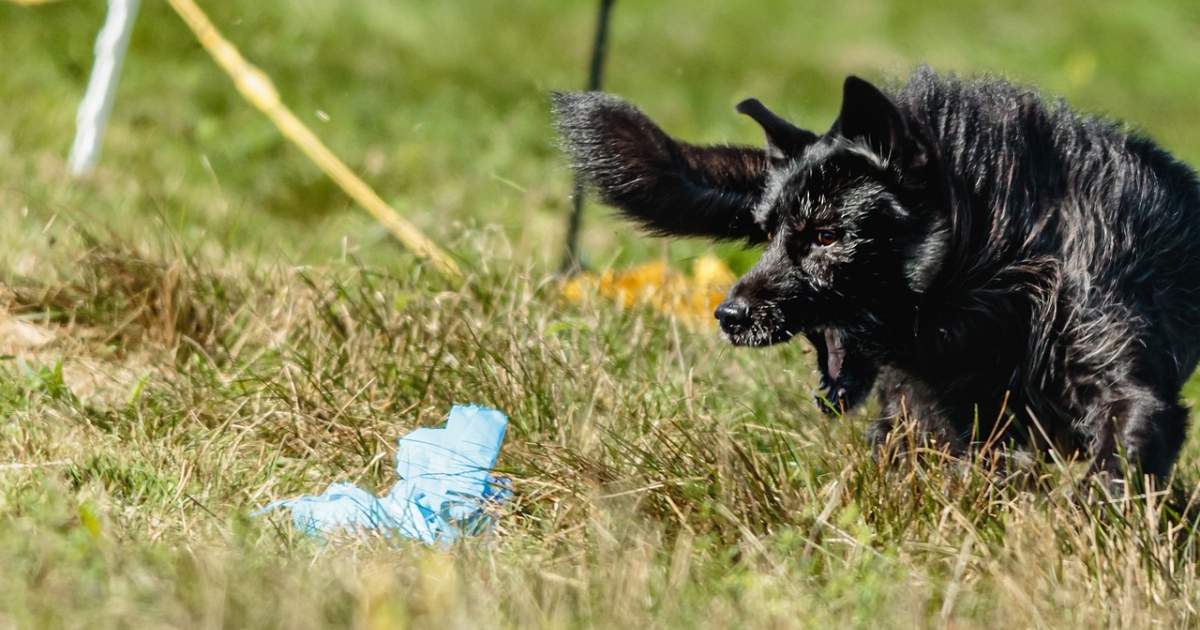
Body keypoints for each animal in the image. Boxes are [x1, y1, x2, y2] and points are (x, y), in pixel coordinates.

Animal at [556, 66, 1200, 484]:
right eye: (767, 232)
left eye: (825, 235)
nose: (729, 315)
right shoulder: (940, 416)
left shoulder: (1130, 390)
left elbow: (1114, 471)